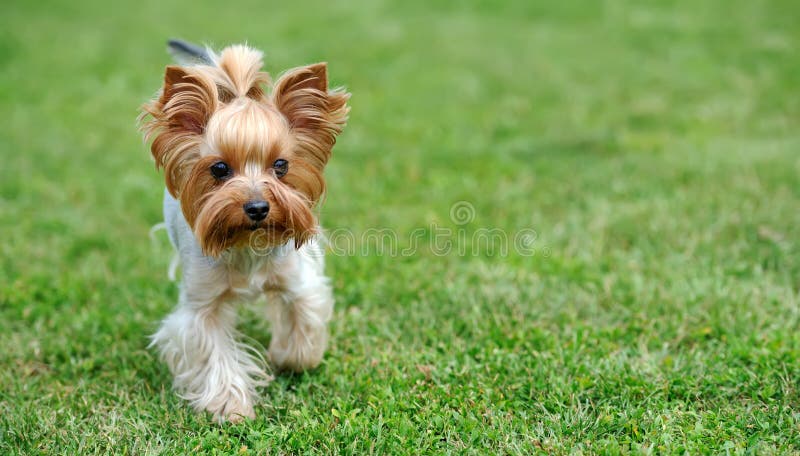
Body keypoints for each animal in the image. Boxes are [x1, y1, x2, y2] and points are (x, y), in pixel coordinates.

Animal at [138, 41, 350, 422]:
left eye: (281, 165)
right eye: (220, 169)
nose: (257, 208)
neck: (246, 243)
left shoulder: (297, 279)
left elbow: (304, 319)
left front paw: (287, 358)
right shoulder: (201, 304)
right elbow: (212, 349)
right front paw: (230, 406)